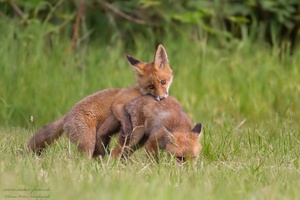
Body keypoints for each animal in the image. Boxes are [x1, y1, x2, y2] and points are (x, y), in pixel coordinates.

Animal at [28, 45, 173, 158]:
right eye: (151, 86)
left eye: (163, 82)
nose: (162, 98)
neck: (140, 92)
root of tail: (66, 116)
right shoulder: (119, 103)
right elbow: (123, 118)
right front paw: (127, 128)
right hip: (88, 142)